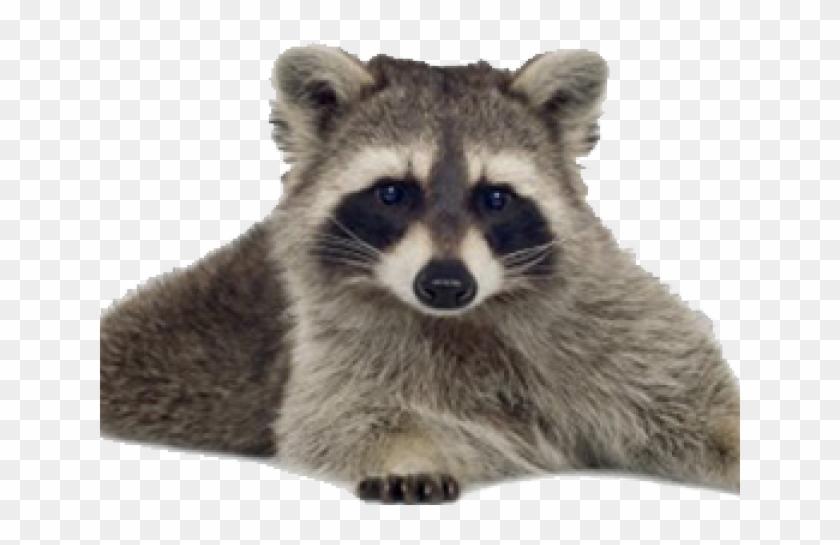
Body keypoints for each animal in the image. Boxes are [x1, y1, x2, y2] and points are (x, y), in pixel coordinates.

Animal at [100, 46, 740, 504]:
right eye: (393, 193)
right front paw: (405, 453)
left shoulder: (605, 315)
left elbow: (687, 393)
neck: (471, 315)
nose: (446, 284)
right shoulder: (328, 339)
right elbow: (337, 418)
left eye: (496, 199)